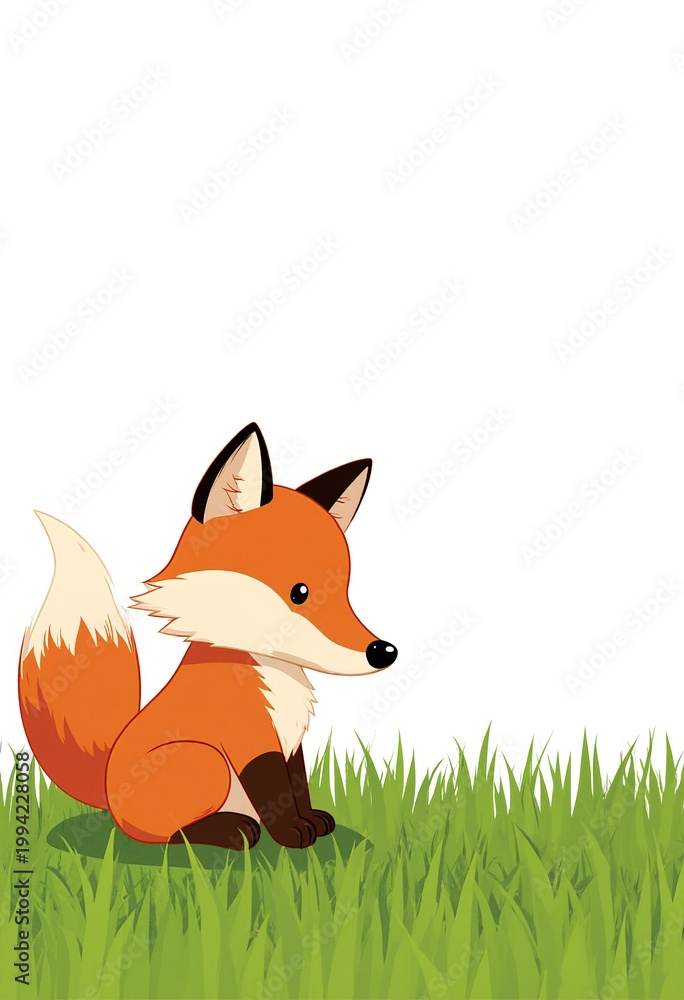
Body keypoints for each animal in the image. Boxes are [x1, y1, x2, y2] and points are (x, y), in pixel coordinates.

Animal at [18, 423, 397, 850]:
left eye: (343, 591)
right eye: (299, 592)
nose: (383, 651)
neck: (273, 674)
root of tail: (106, 789)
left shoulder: (289, 742)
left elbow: (297, 785)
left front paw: (311, 821)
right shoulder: (250, 739)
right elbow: (275, 794)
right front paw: (291, 833)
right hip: (204, 760)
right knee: (168, 835)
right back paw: (231, 830)